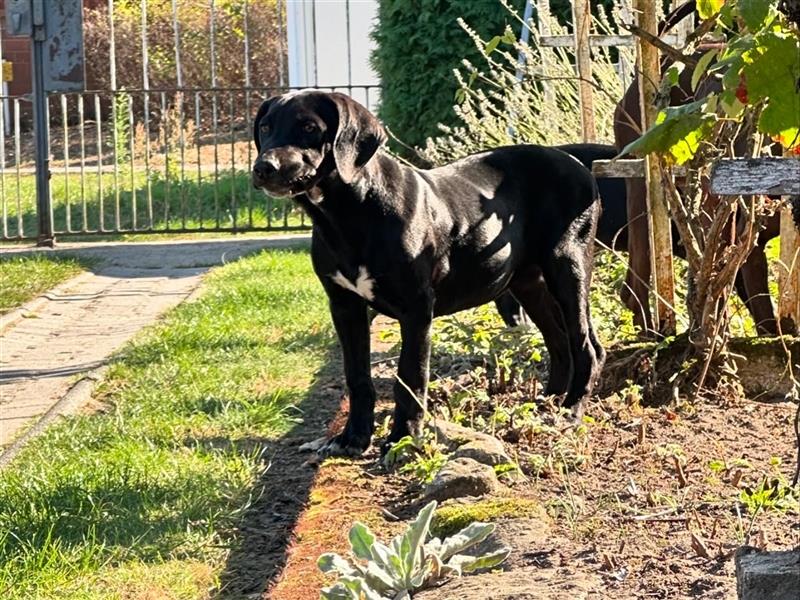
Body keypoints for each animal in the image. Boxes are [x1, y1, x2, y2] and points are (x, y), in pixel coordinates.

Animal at [253, 90, 604, 454]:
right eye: (265, 127)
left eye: (309, 127)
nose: (263, 167)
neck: (348, 214)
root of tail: (576, 162)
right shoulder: (345, 307)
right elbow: (357, 377)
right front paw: (354, 438)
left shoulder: (417, 309)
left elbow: (410, 377)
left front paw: (403, 438)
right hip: (527, 282)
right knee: (559, 342)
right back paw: (545, 405)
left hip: (568, 268)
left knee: (585, 347)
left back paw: (570, 412)